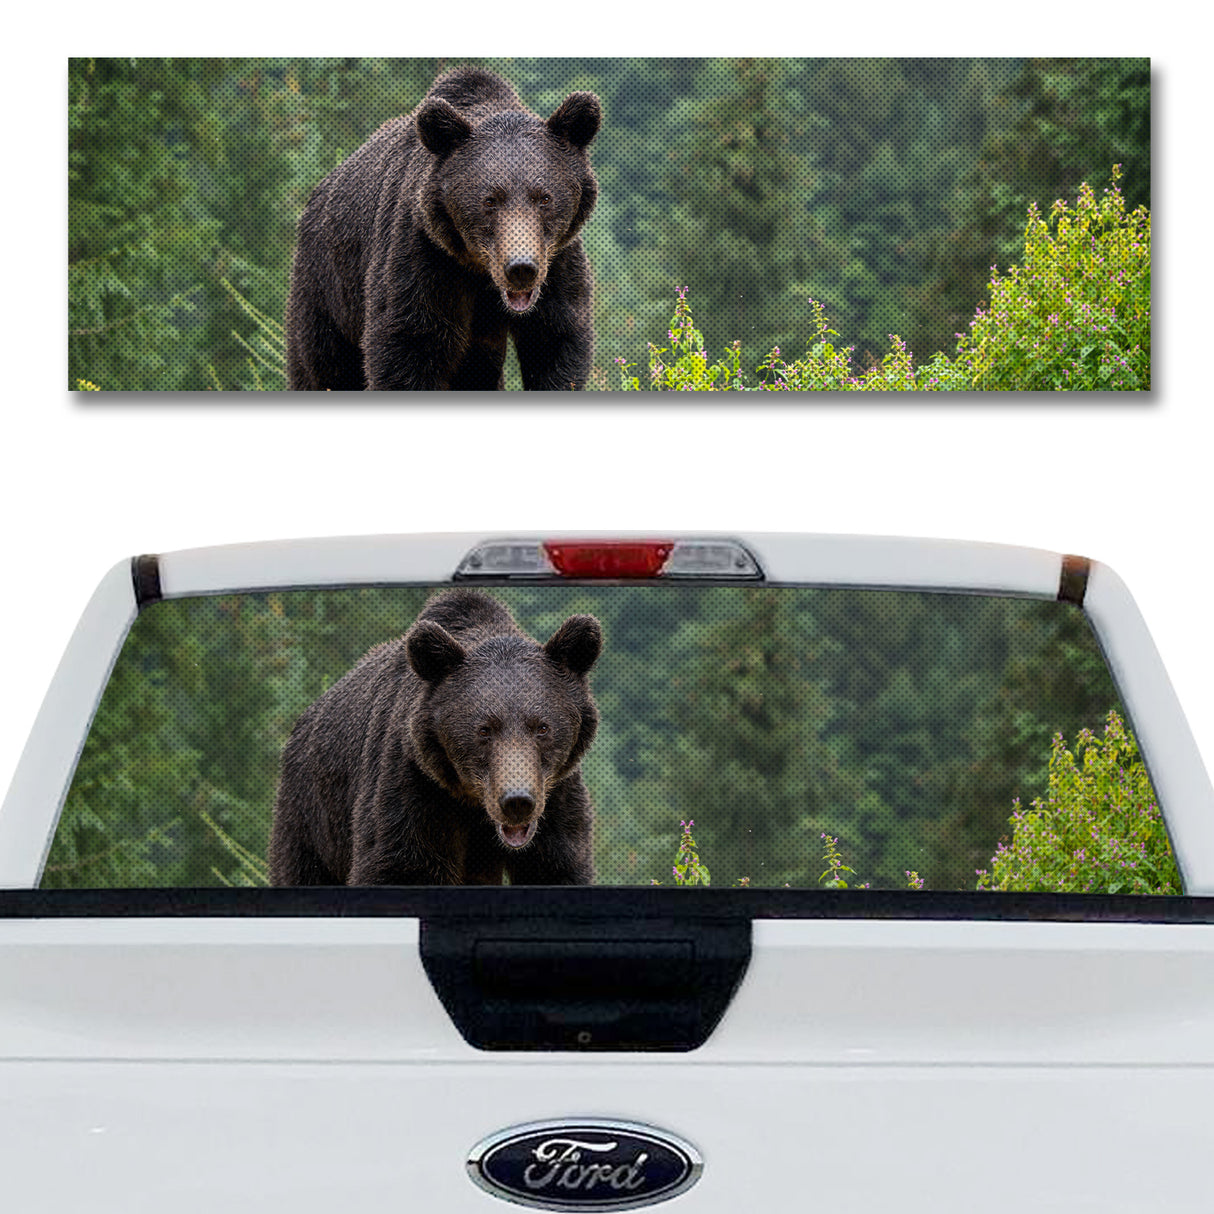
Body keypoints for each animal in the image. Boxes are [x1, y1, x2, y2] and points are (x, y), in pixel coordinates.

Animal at [268, 588, 602, 886]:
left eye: (542, 727)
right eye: (484, 730)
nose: (517, 801)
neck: (472, 804)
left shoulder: (556, 797)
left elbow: (558, 865)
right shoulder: (416, 786)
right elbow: (402, 865)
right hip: (311, 810)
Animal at [284, 67, 602, 391]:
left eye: (544, 197)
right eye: (490, 200)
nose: (521, 268)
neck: (479, 273)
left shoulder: (557, 264)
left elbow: (556, 343)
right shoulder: (425, 258)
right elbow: (408, 346)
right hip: (327, 285)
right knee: (322, 364)